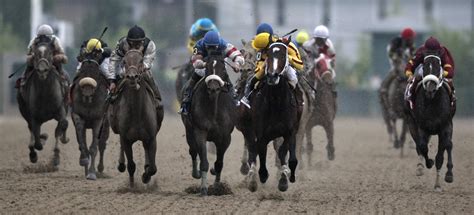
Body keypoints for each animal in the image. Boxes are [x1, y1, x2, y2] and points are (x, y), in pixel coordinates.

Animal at [108, 48, 164, 186]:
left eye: (141, 60)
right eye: (124, 61)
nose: (132, 77)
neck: (137, 113)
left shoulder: (152, 138)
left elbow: (153, 168)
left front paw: (145, 176)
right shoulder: (126, 138)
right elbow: (131, 165)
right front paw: (132, 185)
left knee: (145, 149)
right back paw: (121, 164)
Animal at [181, 54, 236, 197]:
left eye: (223, 69)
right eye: (208, 69)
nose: (213, 89)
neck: (213, 107)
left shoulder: (225, 137)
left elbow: (219, 163)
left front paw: (217, 187)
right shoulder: (200, 132)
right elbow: (204, 161)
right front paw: (204, 189)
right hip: (189, 131)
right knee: (193, 151)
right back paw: (196, 173)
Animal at [243, 40, 302, 191]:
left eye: (283, 55)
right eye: (268, 54)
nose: (272, 76)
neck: (276, 101)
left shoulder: (290, 131)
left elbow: (285, 154)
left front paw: (285, 178)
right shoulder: (261, 133)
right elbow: (261, 151)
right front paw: (262, 175)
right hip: (248, 128)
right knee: (252, 148)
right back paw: (252, 178)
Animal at [404, 54, 456, 191]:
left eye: (438, 68)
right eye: (425, 68)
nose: (430, 89)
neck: (432, 102)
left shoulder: (445, 127)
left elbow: (441, 154)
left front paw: (439, 183)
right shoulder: (422, 126)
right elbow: (422, 146)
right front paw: (427, 164)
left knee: (449, 145)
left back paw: (449, 173)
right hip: (412, 123)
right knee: (419, 145)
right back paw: (420, 166)